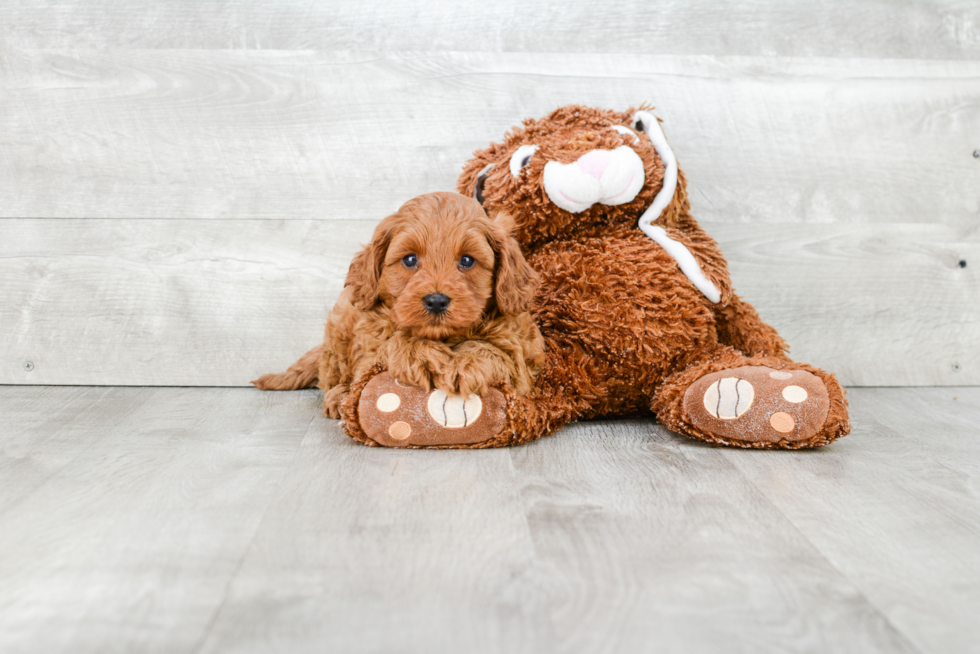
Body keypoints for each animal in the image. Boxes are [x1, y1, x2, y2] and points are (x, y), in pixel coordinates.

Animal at [253, 192, 544, 418]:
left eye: (467, 260)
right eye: (410, 259)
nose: (436, 301)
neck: (443, 337)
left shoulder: (521, 366)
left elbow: (494, 351)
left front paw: (464, 363)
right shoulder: (368, 347)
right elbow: (389, 345)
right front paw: (420, 353)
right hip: (339, 331)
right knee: (334, 376)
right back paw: (340, 396)